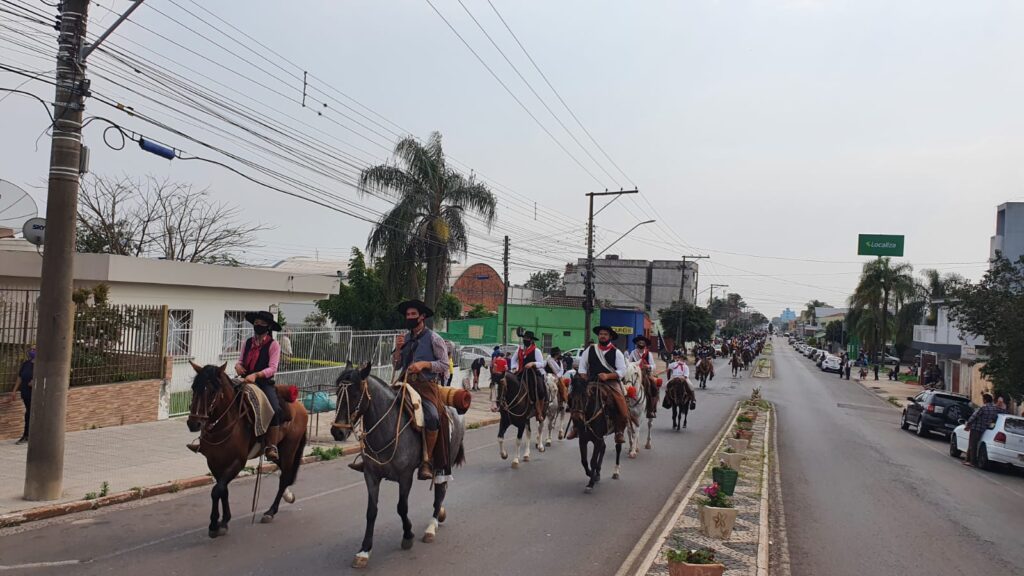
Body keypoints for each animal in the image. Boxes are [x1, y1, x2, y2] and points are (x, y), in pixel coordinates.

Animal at [186, 360, 307, 537]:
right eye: (194, 387)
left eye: (213, 390)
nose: (194, 423)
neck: (225, 423)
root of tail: (300, 405)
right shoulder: (214, 462)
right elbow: (223, 490)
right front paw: (224, 521)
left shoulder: (237, 462)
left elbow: (217, 490)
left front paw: (214, 524)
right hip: (277, 453)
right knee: (284, 473)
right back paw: (288, 496)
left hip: (289, 450)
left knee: (284, 477)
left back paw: (271, 512)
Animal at [331, 362, 468, 565]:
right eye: (337, 392)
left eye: (355, 394)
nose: (337, 432)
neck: (386, 428)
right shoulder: (371, 476)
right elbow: (371, 511)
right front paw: (364, 550)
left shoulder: (405, 477)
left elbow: (401, 507)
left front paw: (408, 535)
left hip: (444, 463)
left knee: (440, 492)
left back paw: (431, 526)